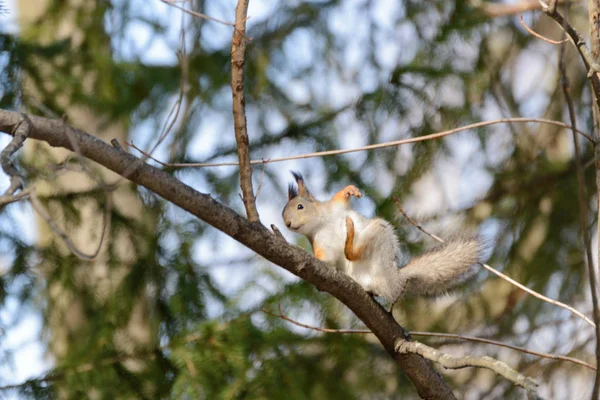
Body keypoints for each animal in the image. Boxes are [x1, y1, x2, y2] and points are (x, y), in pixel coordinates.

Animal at [282, 172, 482, 304]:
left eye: (300, 206)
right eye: (283, 216)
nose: (288, 224)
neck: (321, 224)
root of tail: (394, 280)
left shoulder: (335, 207)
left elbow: (340, 197)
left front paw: (350, 190)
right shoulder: (320, 244)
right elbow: (326, 259)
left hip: (380, 235)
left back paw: (350, 233)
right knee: (351, 256)